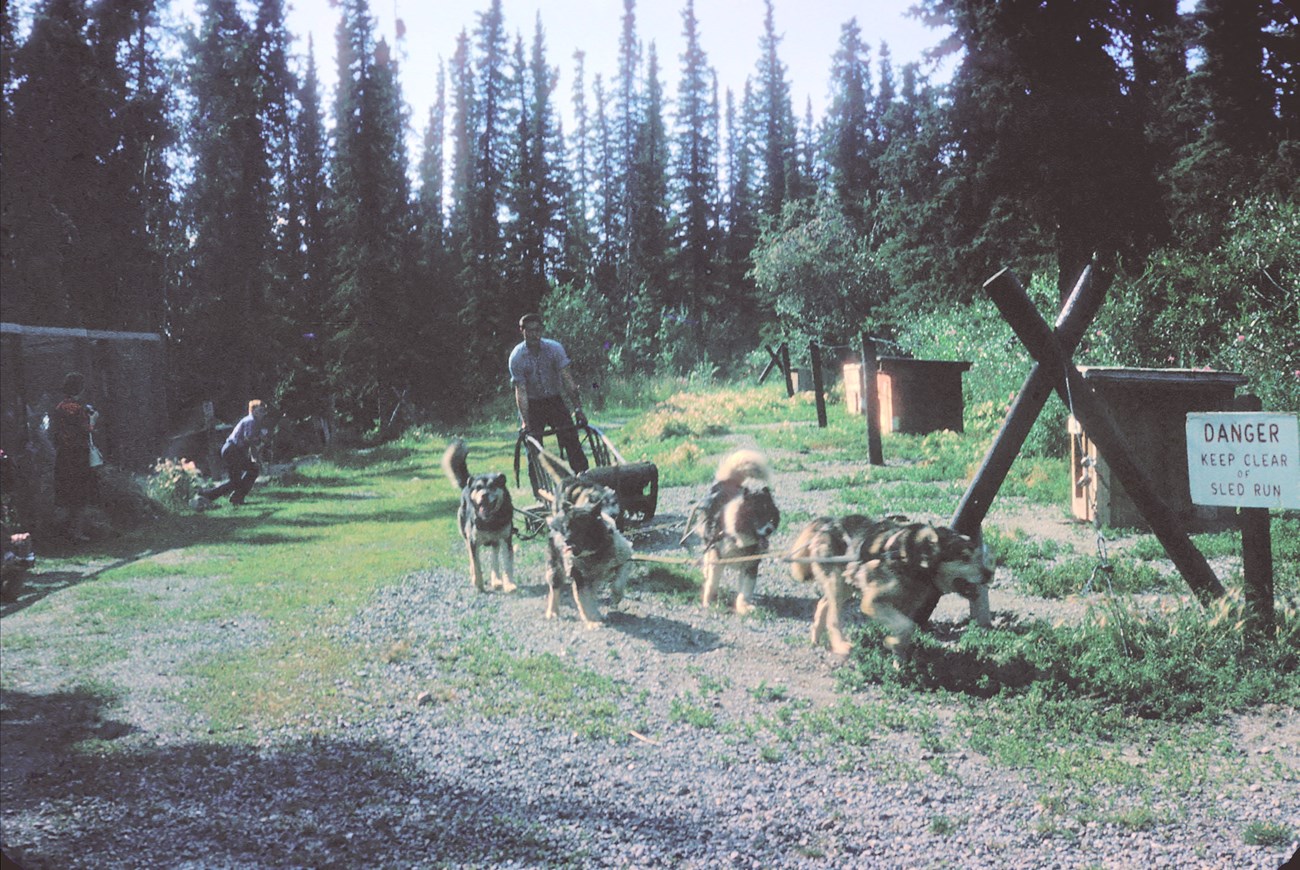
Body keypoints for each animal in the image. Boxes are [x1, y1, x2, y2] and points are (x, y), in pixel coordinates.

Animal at [439, 436, 514, 593]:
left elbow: (506, 564)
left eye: (493, 486)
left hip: (495, 541)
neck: (490, 520)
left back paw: (496, 581)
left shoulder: (506, 539)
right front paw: (478, 584)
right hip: (466, 536)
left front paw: (509, 584)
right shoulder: (473, 542)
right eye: (478, 488)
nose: (484, 495)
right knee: (472, 559)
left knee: (494, 559)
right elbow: (477, 564)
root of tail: (468, 482)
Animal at [681, 452, 780, 613]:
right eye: (757, 515)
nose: (769, 530)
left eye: (771, 517)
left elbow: (745, 590)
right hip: (708, 540)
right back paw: (705, 571)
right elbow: (712, 582)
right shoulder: (717, 557)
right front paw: (708, 601)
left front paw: (743, 607)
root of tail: (726, 482)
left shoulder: (750, 565)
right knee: (706, 559)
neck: (737, 538)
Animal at [795, 514, 987, 658]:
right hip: (838, 584)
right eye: (964, 557)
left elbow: (906, 631)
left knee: (823, 603)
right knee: (832, 617)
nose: (989, 574)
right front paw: (892, 643)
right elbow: (906, 626)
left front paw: (898, 657)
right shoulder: (872, 602)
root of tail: (828, 523)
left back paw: (816, 637)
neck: (912, 558)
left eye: (978, 555)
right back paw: (840, 645)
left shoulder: (908, 607)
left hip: (845, 585)